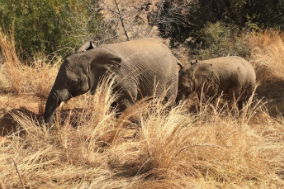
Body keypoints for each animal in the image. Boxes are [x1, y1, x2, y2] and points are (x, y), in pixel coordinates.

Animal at [44, 38, 178, 125]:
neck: (90, 55)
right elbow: (113, 102)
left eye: (70, 82)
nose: (51, 127)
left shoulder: (122, 76)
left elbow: (126, 101)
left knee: (166, 101)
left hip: (172, 76)